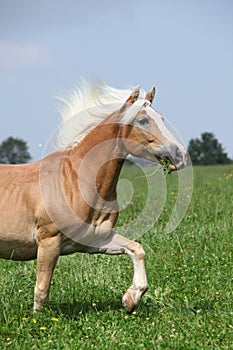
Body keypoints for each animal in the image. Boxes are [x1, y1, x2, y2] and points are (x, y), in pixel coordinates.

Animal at [0, 80, 186, 314]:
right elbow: (41, 290)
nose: (179, 155)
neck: (74, 181)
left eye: (161, 118)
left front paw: (131, 298)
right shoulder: (48, 241)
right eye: (143, 120)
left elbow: (136, 249)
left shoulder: (95, 239)